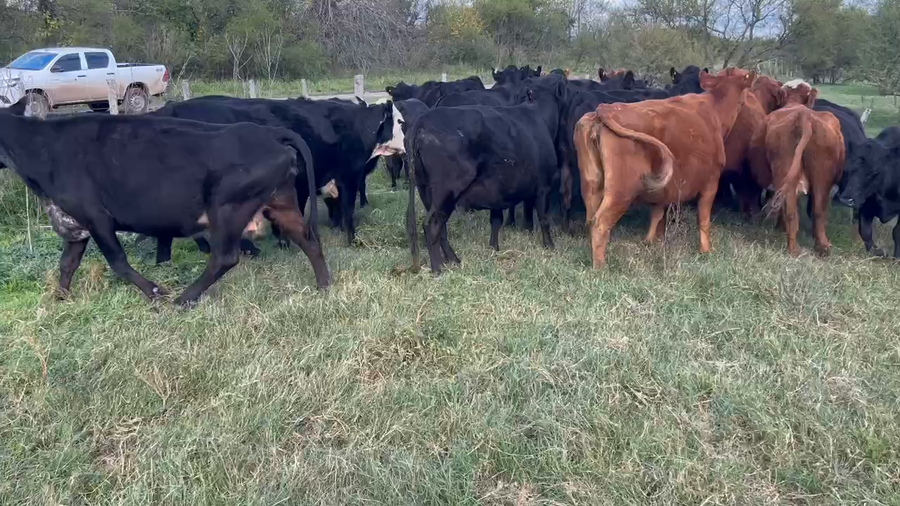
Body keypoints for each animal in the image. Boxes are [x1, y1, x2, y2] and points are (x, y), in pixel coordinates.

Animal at [0, 108, 331, 305]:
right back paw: (324, 285)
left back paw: (183, 299)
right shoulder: (74, 221)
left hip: (228, 207)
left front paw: (156, 292)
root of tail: (269, 132)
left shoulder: (97, 217)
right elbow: (67, 263)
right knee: (308, 239)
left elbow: (118, 262)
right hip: (279, 202)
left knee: (224, 257)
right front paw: (59, 299)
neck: (45, 148)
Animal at [405, 81, 567, 273]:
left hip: (426, 191)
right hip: (445, 191)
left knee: (441, 226)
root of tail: (423, 120)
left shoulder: (497, 189)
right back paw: (437, 268)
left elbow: (496, 221)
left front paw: (493, 248)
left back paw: (453, 260)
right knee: (432, 225)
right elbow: (544, 218)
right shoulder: (543, 187)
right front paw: (550, 246)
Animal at [574, 68, 756, 268]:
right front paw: (705, 250)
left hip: (591, 184)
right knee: (600, 223)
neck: (714, 111)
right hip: (620, 191)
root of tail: (605, 109)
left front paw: (650, 241)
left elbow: (657, 214)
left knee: (591, 219)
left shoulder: (665, 190)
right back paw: (600, 266)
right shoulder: (711, 182)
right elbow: (703, 219)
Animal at [838, 126, 900, 257]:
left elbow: (897, 233)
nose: (846, 199)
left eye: (875, 171)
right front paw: (879, 252)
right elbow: (865, 233)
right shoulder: (865, 206)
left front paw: (896, 257)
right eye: (847, 168)